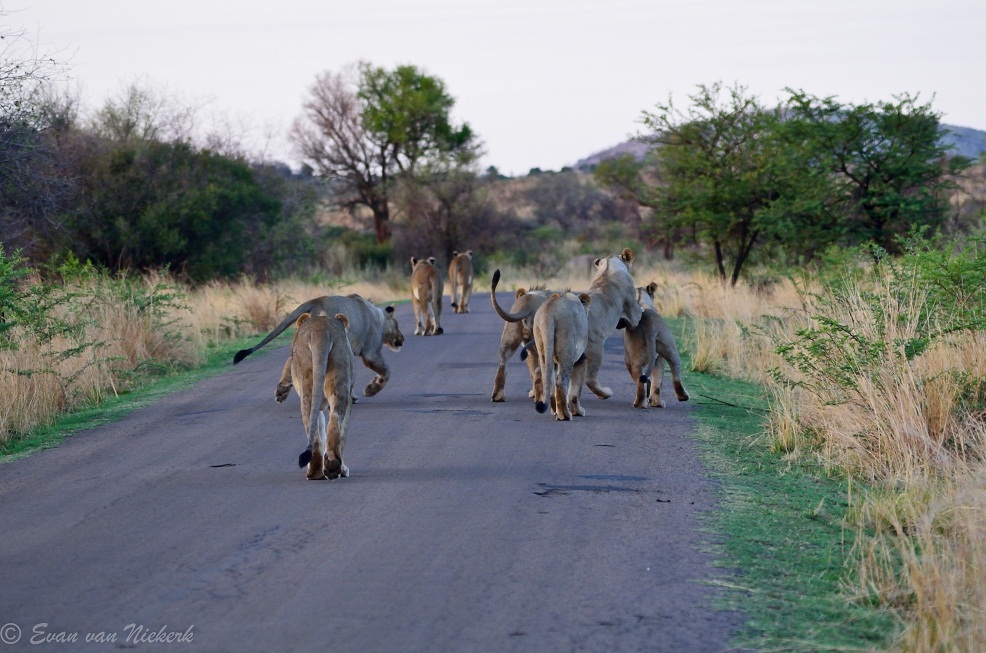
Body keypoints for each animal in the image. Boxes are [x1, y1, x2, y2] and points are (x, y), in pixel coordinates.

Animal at [231, 294, 403, 400]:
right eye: (397, 324)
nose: (402, 339)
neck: (378, 317)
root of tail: (315, 301)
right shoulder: (371, 352)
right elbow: (386, 372)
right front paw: (371, 389)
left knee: (290, 361)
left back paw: (282, 391)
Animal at [290, 312, 354, 480]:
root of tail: (320, 330)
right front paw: (344, 469)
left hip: (310, 385)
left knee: (317, 427)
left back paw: (319, 470)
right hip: (338, 383)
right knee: (335, 421)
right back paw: (330, 467)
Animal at [489, 270, 556, 402]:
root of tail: (527, 303)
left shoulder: (529, 351)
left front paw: (533, 393)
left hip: (509, 337)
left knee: (503, 363)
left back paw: (498, 396)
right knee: (540, 370)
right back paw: (545, 396)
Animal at [528, 292, 592, 420]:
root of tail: (548, 312)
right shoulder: (581, 359)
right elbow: (575, 392)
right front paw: (578, 412)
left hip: (543, 348)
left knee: (550, 384)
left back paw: (556, 412)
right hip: (567, 352)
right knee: (561, 383)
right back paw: (566, 415)